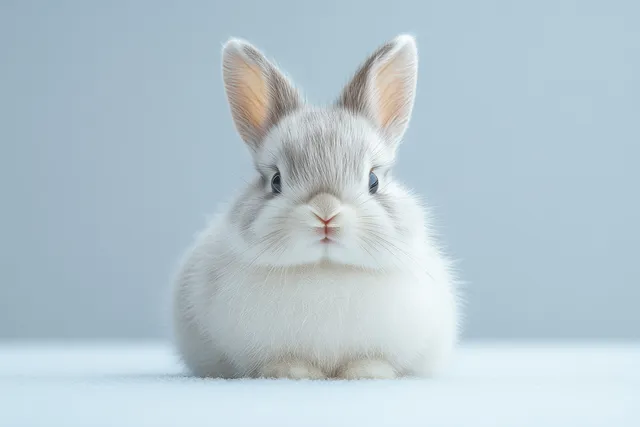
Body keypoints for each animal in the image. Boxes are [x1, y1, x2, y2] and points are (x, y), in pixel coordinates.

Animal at [172, 34, 460, 380]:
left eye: (373, 180)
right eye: (276, 181)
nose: (325, 213)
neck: (326, 269)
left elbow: (372, 359)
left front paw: (367, 373)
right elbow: (284, 360)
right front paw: (292, 373)